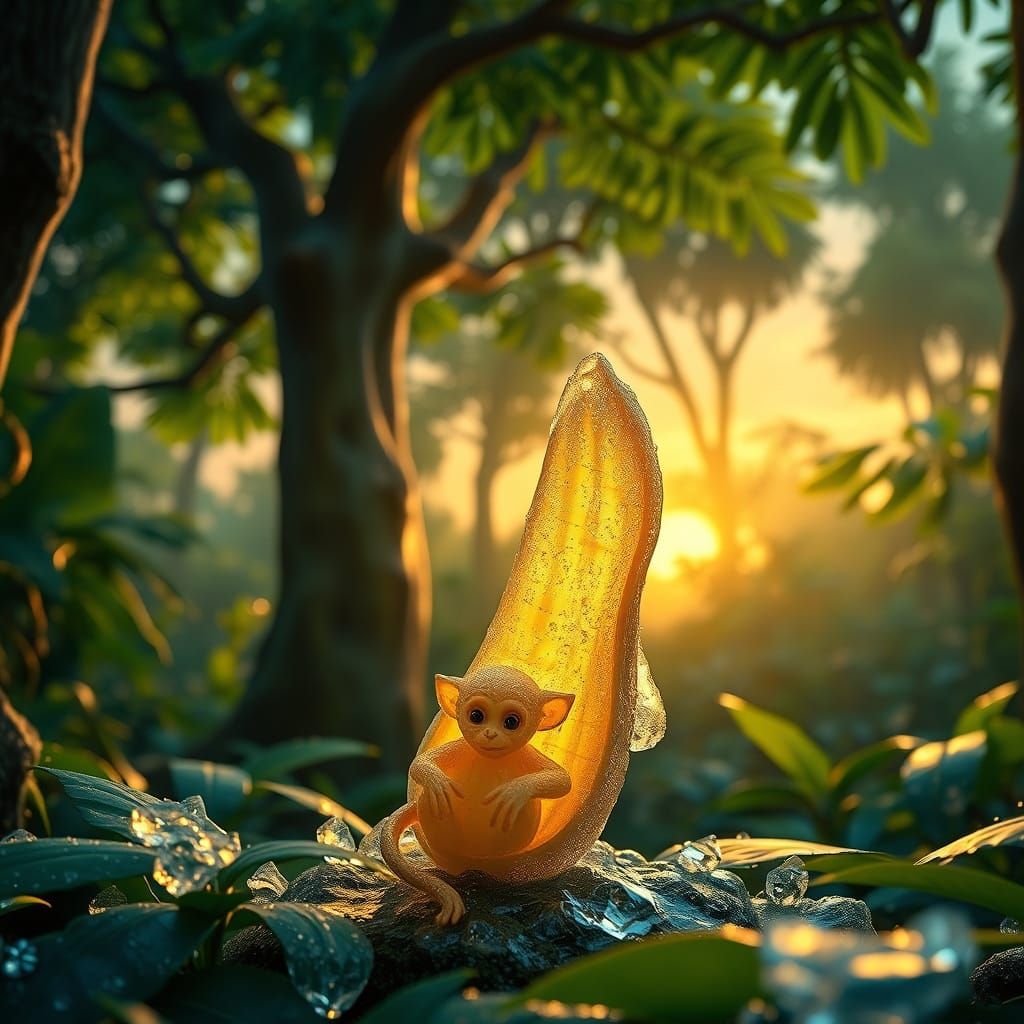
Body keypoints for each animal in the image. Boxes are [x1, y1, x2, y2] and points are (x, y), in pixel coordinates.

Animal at [379, 665, 575, 925]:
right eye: (476, 716)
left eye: (511, 722)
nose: (490, 734)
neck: (490, 759)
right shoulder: (462, 747)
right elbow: (418, 764)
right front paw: (439, 783)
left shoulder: (526, 754)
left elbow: (563, 780)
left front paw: (513, 793)